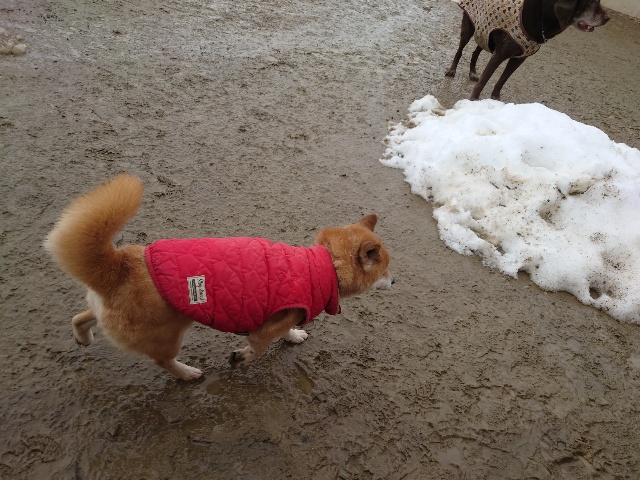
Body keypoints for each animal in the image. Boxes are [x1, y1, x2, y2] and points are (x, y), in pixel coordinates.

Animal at [45, 174, 393, 380]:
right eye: (386, 270)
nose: (395, 282)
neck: (323, 265)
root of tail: (118, 265)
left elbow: (287, 331)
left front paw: (294, 336)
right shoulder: (264, 329)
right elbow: (259, 348)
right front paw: (242, 357)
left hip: (109, 313)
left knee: (81, 317)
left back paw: (83, 337)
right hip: (168, 334)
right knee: (163, 362)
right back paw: (187, 373)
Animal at [445, 0, 610, 100]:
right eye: (593, 2)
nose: (608, 18)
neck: (542, 17)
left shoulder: (519, 59)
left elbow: (502, 79)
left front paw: (496, 98)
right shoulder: (500, 55)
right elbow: (485, 80)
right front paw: (474, 99)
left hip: (485, 33)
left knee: (475, 52)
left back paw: (472, 72)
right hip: (469, 29)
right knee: (460, 51)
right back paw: (452, 69)